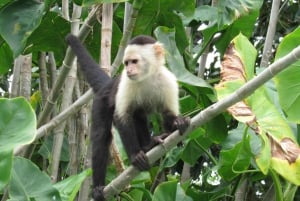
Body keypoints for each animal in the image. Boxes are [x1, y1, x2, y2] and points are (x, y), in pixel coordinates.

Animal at [65, 33, 190, 200]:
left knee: (139, 115)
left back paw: (149, 145)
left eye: (134, 61)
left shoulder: (168, 80)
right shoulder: (126, 82)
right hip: (101, 100)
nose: (129, 69)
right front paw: (135, 156)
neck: (147, 77)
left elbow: (168, 116)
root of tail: (109, 84)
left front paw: (178, 122)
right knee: (103, 135)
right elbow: (122, 117)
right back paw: (98, 187)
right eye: (126, 63)